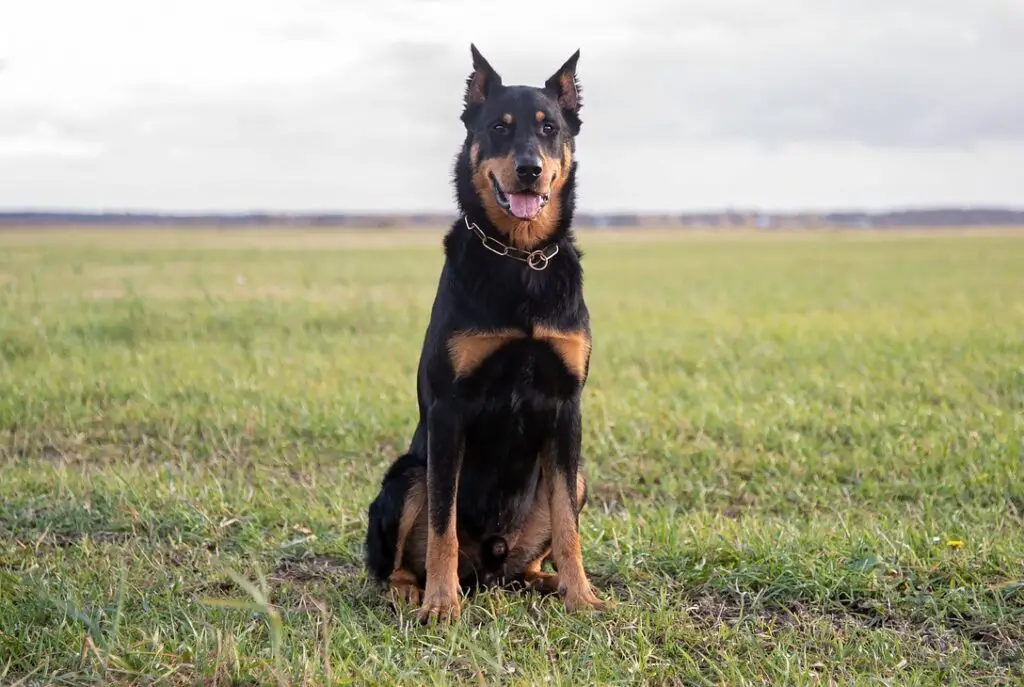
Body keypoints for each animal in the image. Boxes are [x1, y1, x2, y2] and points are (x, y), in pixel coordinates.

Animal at [362, 41, 606, 622]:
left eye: (549, 129)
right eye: (498, 127)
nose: (529, 169)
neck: (519, 258)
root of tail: (490, 569)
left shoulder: (566, 407)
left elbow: (568, 525)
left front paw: (582, 594)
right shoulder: (450, 411)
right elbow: (442, 525)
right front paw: (441, 603)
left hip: (577, 475)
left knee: (537, 549)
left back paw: (548, 581)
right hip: (406, 476)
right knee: (399, 559)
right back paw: (412, 590)